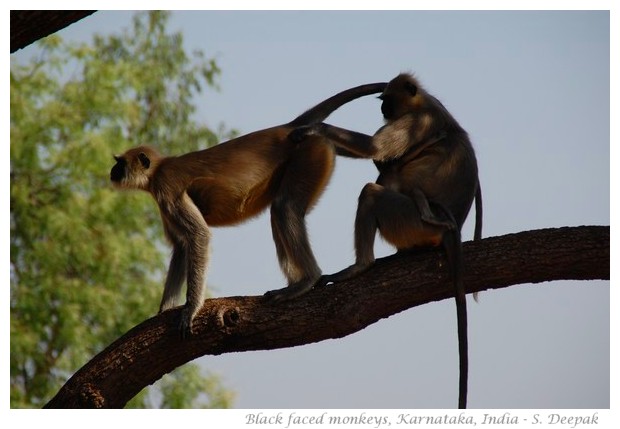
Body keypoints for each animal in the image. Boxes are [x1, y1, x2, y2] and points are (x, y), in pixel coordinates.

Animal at [109, 80, 386, 334]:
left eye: (120, 164)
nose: (112, 171)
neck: (158, 170)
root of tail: (285, 128)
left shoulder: (166, 187)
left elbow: (198, 236)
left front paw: (191, 309)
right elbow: (181, 246)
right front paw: (164, 309)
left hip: (310, 153)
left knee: (284, 207)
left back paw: (308, 280)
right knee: (279, 211)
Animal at [294, 73, 482, 408]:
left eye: (388, 100)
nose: (382, 109)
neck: (422, 103)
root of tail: (449, 230)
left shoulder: (417, 121)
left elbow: (373, 148)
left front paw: (315, 129)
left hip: (410, 221)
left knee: (372, 191)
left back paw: (362, 265)